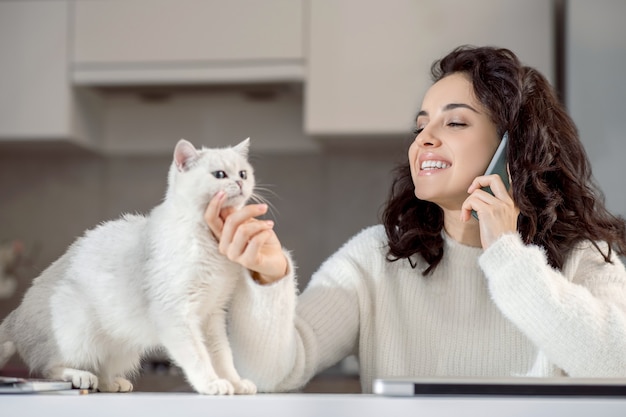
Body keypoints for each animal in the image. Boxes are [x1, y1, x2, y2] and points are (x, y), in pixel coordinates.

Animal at [0, 139, 258, 394]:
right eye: (220, 174)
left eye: (243, 173)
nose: (239, 182)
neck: (210, 241)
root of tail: (17, 314)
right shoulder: (175, 313)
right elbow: (198, 356)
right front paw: (211, 383)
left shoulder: (213, 314)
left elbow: (222, 355)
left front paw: (235, 383)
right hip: (78, 330)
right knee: (50, 367)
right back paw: (80, 376)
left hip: (122, 345)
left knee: (101, 369)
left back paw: (112, 383)